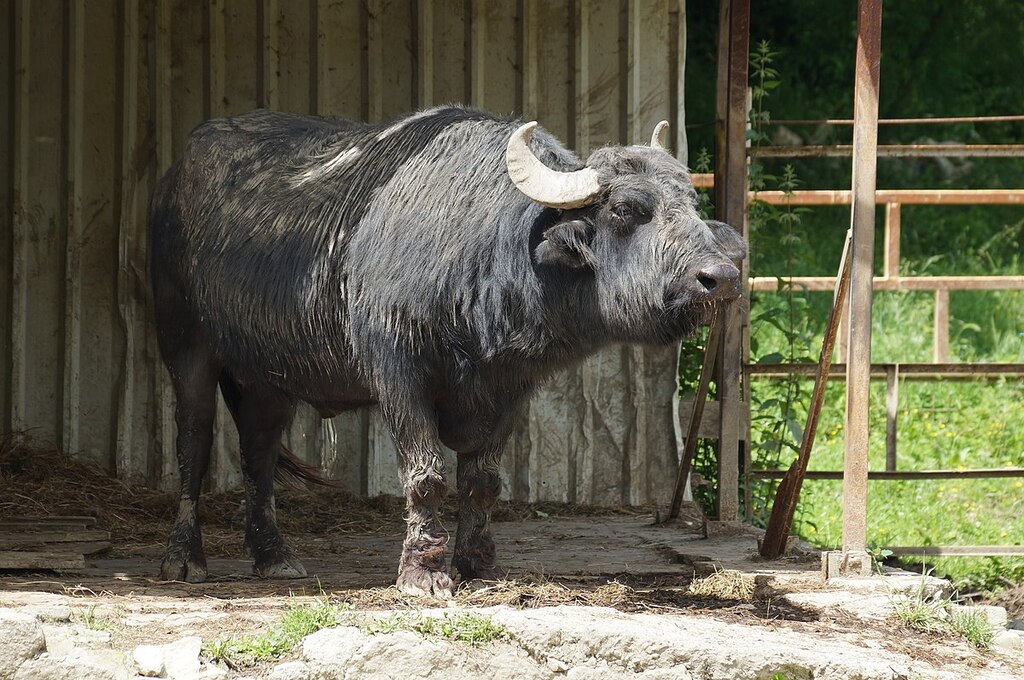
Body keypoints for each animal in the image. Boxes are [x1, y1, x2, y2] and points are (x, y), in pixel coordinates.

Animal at [149, 106, 746, 597]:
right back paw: (184, 559)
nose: (720, 277)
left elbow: (482, 481)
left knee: (259, 453)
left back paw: (273, 556)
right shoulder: (397, 372)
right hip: (185, 342)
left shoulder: (509, 387)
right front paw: (423, 572)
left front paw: (479, 566)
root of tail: (174, 178)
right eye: (624, 209)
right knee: (193, 445)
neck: (479, 260)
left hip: (265, 377)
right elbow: (427, 474)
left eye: (692, 201)